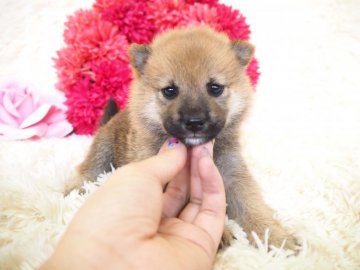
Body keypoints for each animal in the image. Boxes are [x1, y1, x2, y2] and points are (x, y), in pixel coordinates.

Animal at [66, 26, 296, 250]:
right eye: (170, 90)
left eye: (215, 88)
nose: (194, 122)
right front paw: (221, 232)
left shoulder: (234, 175)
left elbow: (252, 203)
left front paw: (275, 236)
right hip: (102, 151)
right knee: (87, 171)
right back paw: (74, 190)